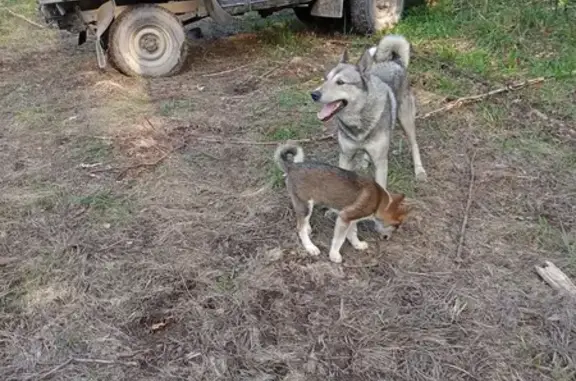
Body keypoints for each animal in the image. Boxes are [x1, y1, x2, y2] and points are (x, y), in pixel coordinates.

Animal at [276, 141, 408, 262]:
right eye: (396, 225)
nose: (387, 238)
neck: (379, 200)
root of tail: (292, 166)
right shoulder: (344, 218)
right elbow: (339, 240)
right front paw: (334, 255)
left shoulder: (351, 219)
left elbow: (352, 233)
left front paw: (358, 245)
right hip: (305, 204)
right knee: (300, 228)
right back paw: (311, 247)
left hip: (305, 204)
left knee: (303, 221)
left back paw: (308, 228)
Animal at [310, 35, 428, 189]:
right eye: (326, 79)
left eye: (341, 82)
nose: (314, 94)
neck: (358, 118)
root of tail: (395, 61)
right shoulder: (345, 157)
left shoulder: (381, 163)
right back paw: (365, 161)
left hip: (406, 121)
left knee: (414, 144)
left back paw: (419, 171)